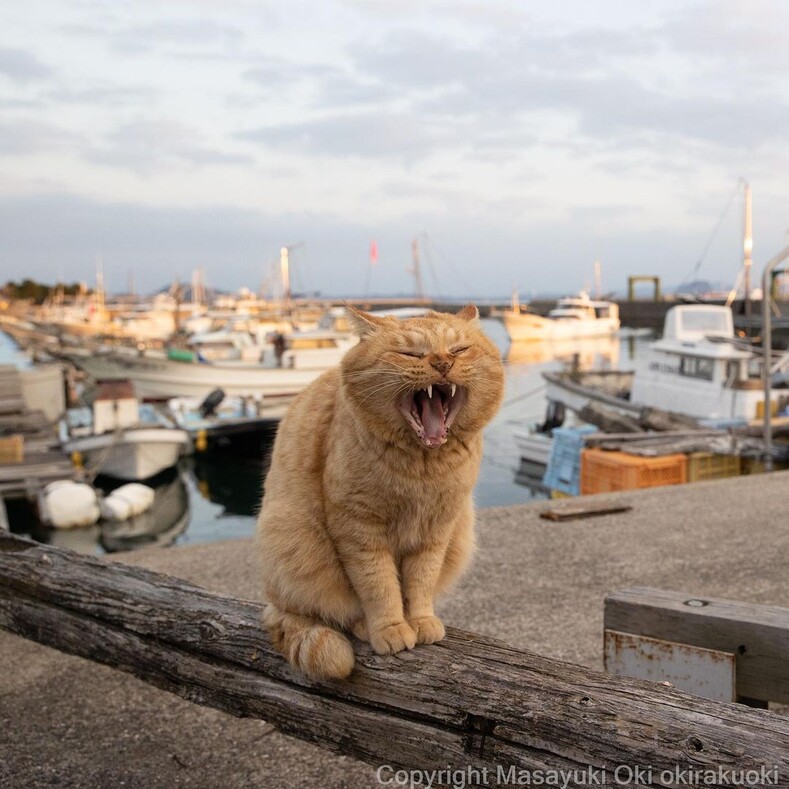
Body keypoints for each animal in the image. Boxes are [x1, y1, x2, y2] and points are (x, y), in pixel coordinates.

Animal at [258, 304, 504, 680]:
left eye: (459, 349)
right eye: (410, 353)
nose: (442, 363)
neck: (423, 469)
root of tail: (272, 601)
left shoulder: (438, 530)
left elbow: (420, 582)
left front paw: (420, 621)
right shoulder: (360, 530)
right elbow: (379, 586)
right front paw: (390, 628)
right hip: (292, 542)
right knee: (326, 610)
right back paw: (362, 626)